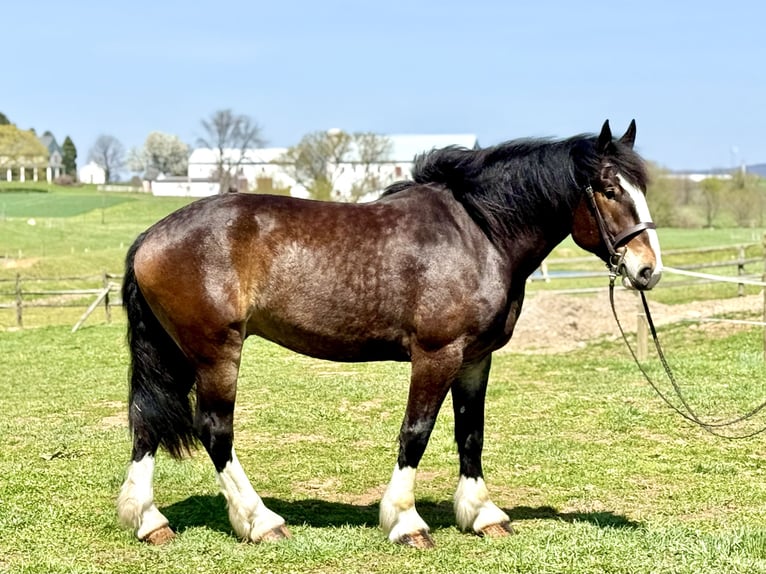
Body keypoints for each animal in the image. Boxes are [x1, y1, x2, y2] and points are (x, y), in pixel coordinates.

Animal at [116, 120, 662, 548]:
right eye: (609, 189)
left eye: (641, 189)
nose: (647, 270)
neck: (477, 232)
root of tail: (150, 236)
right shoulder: (437, 355)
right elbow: (416, 433)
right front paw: (406, 522)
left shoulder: (475, 359)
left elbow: (471, 434)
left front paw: (483, 515)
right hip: (215, 353)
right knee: (215, 430)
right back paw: (260, 521)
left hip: (173, 353)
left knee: (147, 423)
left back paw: (149, 522)